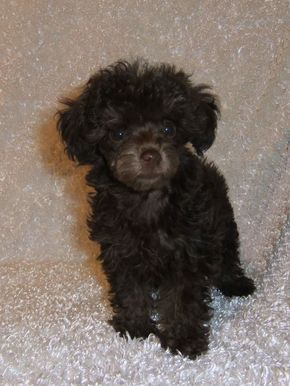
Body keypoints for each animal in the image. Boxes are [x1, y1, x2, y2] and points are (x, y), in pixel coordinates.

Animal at [56, 59, 254, 358]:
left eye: (169, 128)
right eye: (119, 133)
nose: (150, 154)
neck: (147, 199)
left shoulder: (188, 250)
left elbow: (183, 296)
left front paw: (184, 338)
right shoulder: (120, 247)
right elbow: (130, 289)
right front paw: (134, 325)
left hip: (223, 224)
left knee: (228, 255)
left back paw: (235, 282)